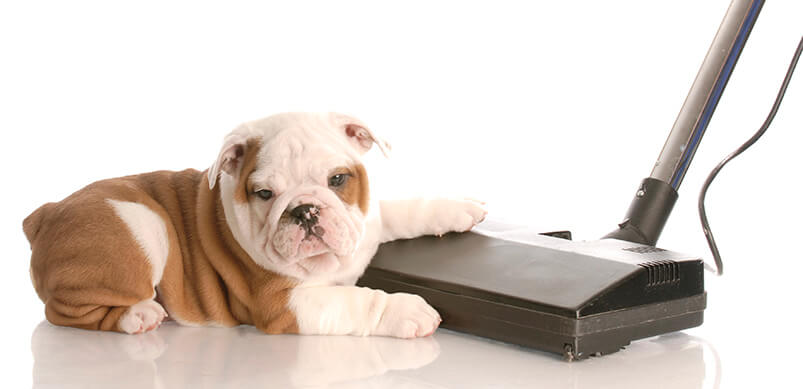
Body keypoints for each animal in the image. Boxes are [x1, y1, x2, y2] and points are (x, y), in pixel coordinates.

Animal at [25, 111, 486, 336]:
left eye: (338, 180)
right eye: (264, 194)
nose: (304, 210)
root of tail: (45, 213)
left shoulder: (366, 221)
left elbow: (399, 212)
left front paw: (455, 207)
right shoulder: (285, 303)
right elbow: (357, 301)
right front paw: (406, 309)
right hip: (140, 225)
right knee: (63, 312)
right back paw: (138, 316)